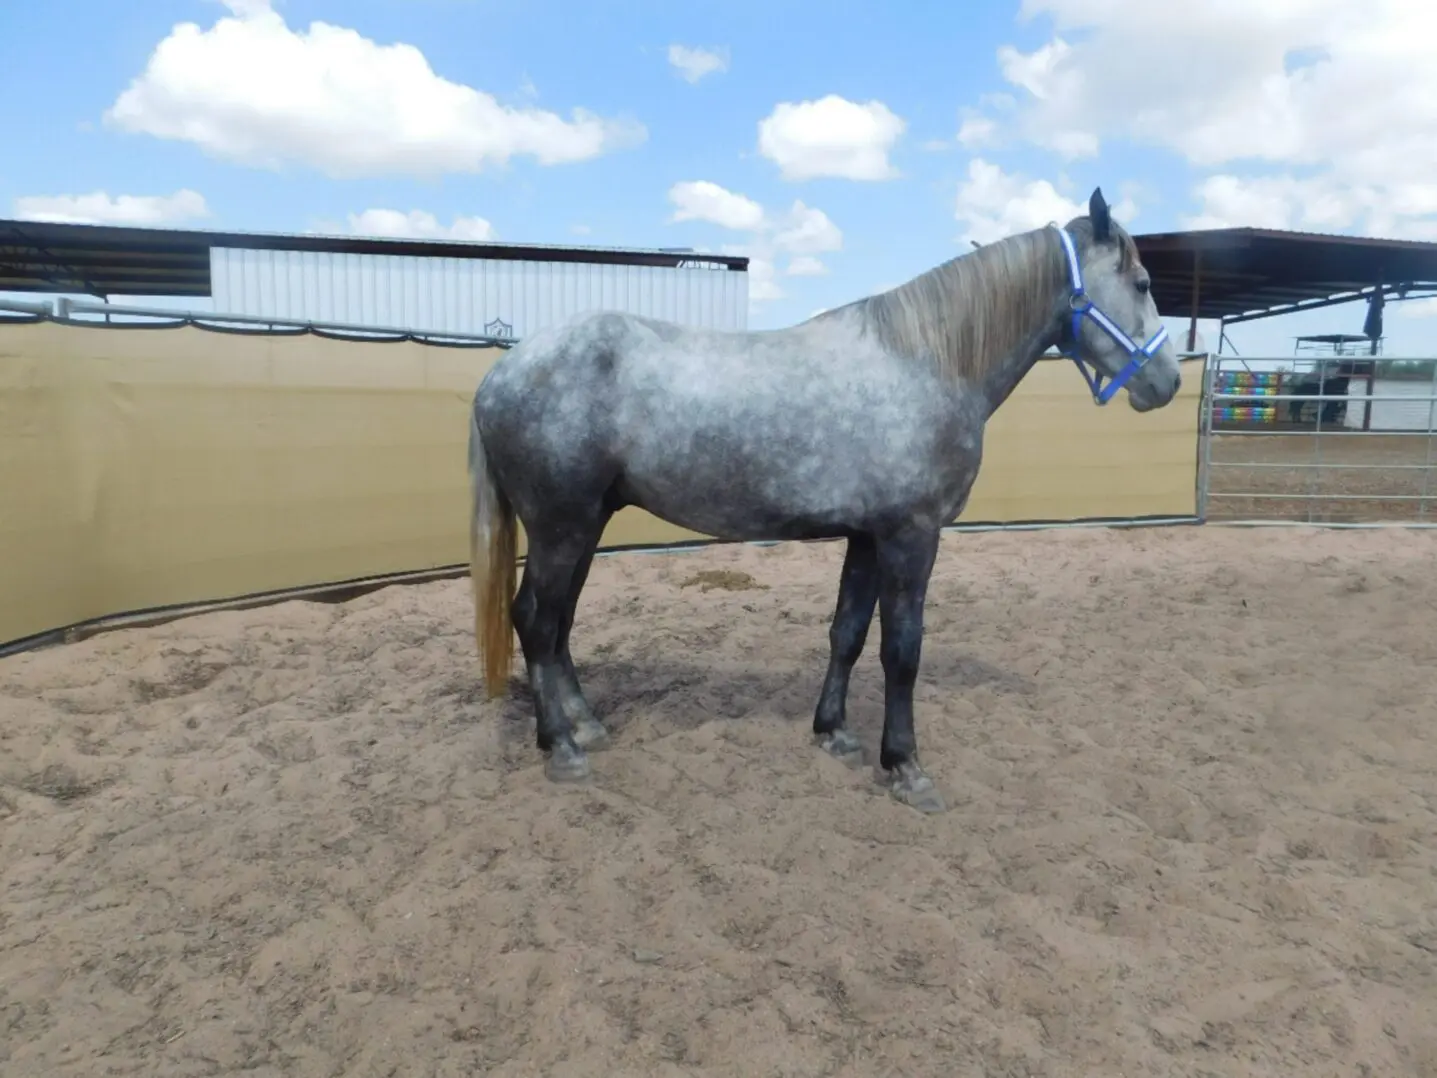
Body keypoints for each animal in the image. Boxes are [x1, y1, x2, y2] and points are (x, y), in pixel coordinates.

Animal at [466, 187, 1180, 814]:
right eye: (1143, 284)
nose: (1168, 382)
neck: (922, 362)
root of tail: (503, 371)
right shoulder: (910, 536)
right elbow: (902, 651)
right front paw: (907, 768)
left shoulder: (866, 535)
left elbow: (848, 633)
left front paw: (833, 732)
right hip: (560, 527)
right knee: (535, 620)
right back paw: (561, 747)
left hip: (585, 525)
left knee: (558, 625)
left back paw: (585, 724)